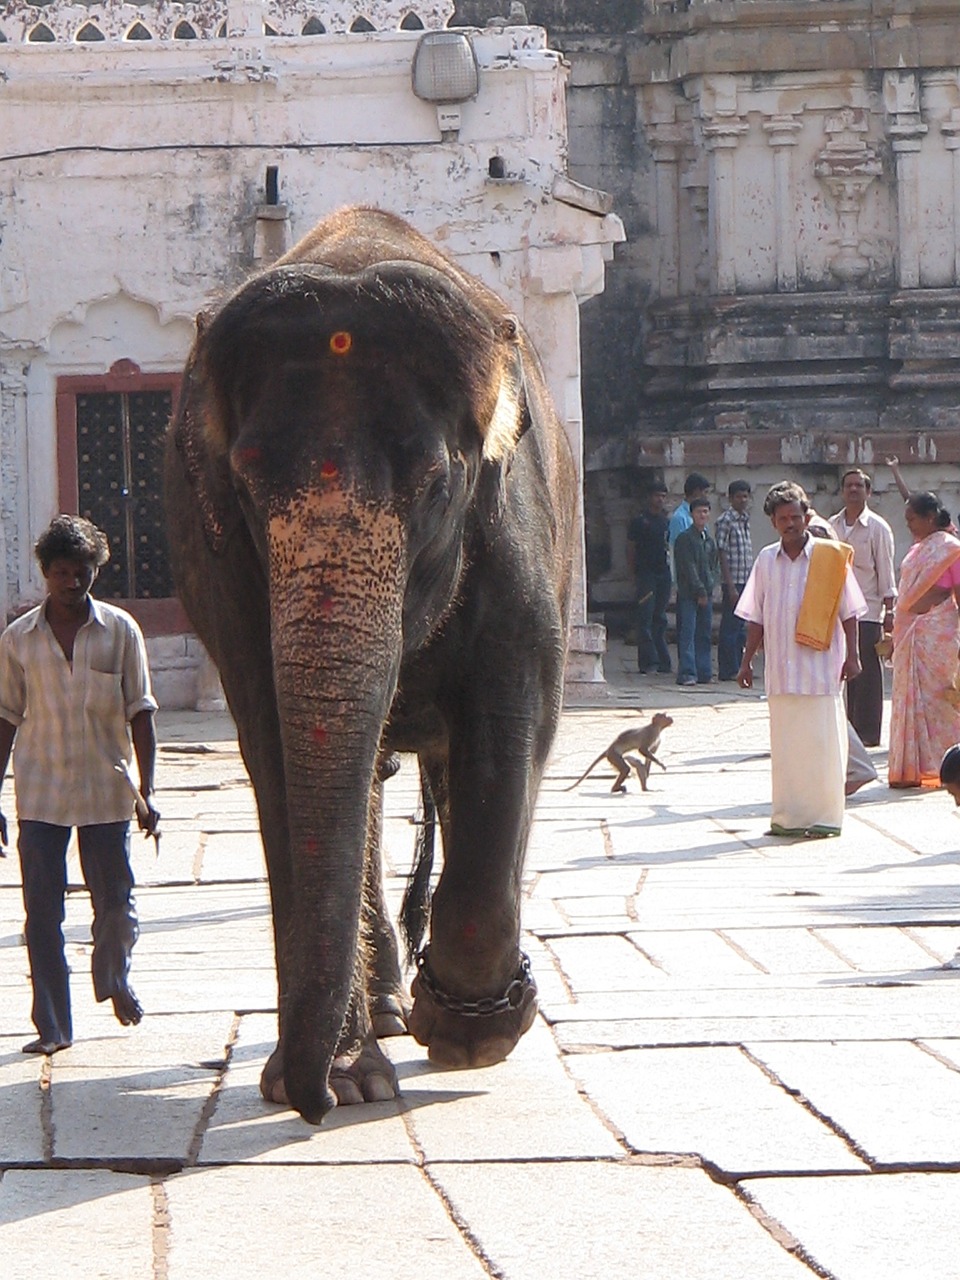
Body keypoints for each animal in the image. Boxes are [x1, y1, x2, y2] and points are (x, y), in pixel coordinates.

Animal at [163, 204, 578, 1126]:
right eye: (245, 485)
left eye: (434, 485)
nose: (314, 1101)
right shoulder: (220, 563)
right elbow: (274, 746)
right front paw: (352, 1076)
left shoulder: (515, 535)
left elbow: (513, 724)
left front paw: (468, 1038)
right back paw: (382, 1015)